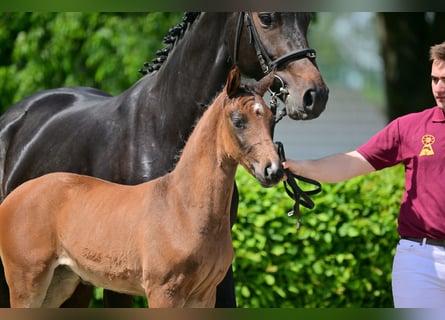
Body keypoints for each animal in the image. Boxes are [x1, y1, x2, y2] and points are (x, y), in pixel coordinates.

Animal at [0, 65, 282, 308]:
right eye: (238, 120)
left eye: (271, 120)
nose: (273, 170)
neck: (184, 207)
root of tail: (13, 196)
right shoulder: (163, 292)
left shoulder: (204, 295)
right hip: (26, 282)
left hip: (60, 281)